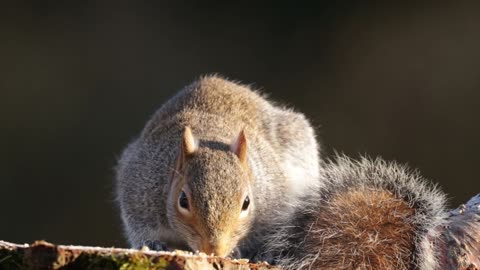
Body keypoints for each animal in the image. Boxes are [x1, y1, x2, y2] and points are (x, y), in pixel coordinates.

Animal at [114, 75, 320, 258]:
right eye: (183, 200)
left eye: (247, 202)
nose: (215, 250)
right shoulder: (139, 186)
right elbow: (138, 227)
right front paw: (153, 244)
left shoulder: (276, 203)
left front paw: (254, 252)